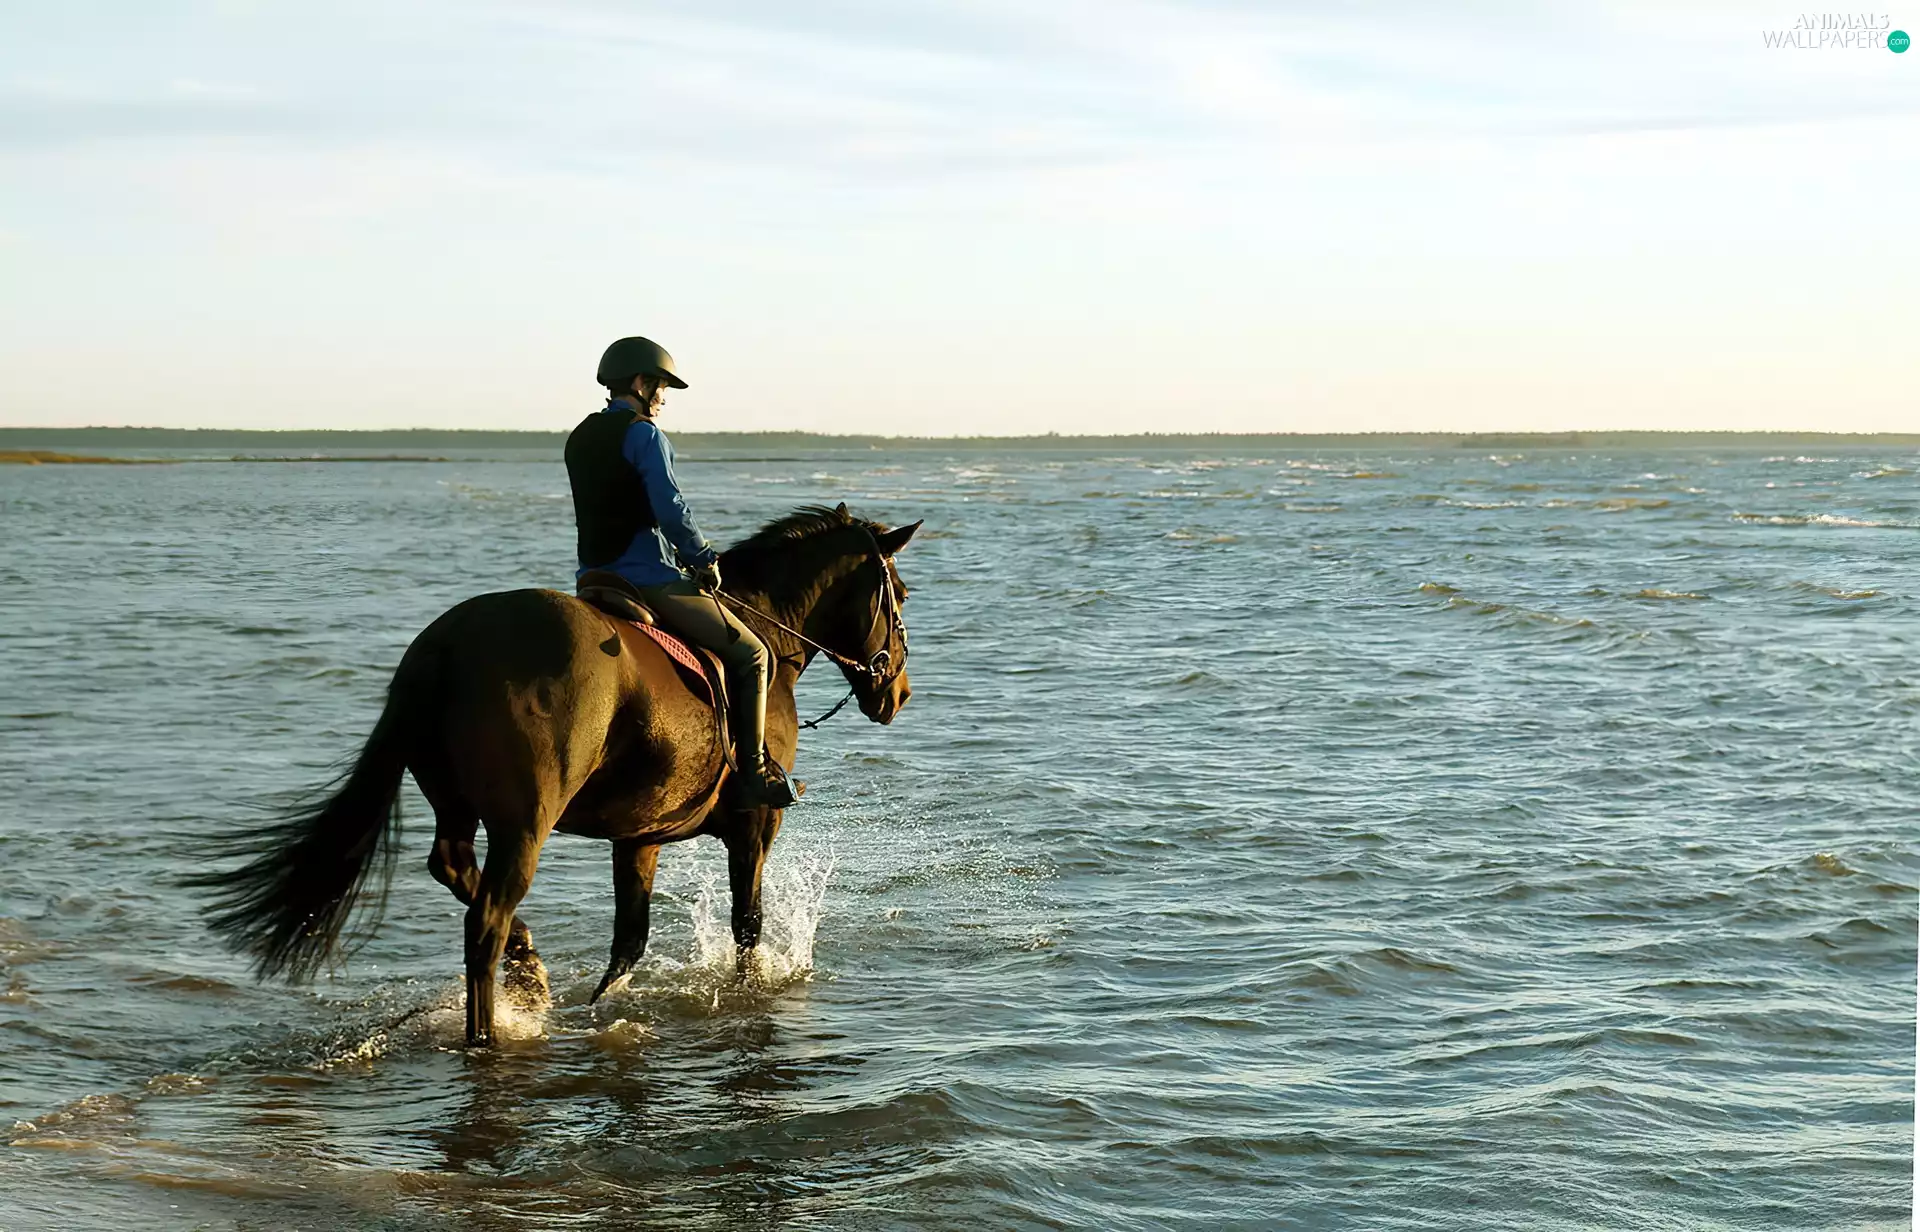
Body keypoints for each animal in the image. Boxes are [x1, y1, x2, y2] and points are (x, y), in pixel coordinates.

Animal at [190, 503, 919, 1045]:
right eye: (901, 594)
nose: (898, 694)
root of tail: (447, 643)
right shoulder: (754, 826)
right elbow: (747, 929)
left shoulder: (639, 838)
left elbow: (628, 943)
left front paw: (600, 1004)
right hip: (525, 824)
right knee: (483, 921)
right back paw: (490, 1030)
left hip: (459, 808)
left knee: (452, 867)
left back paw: (530, 968)